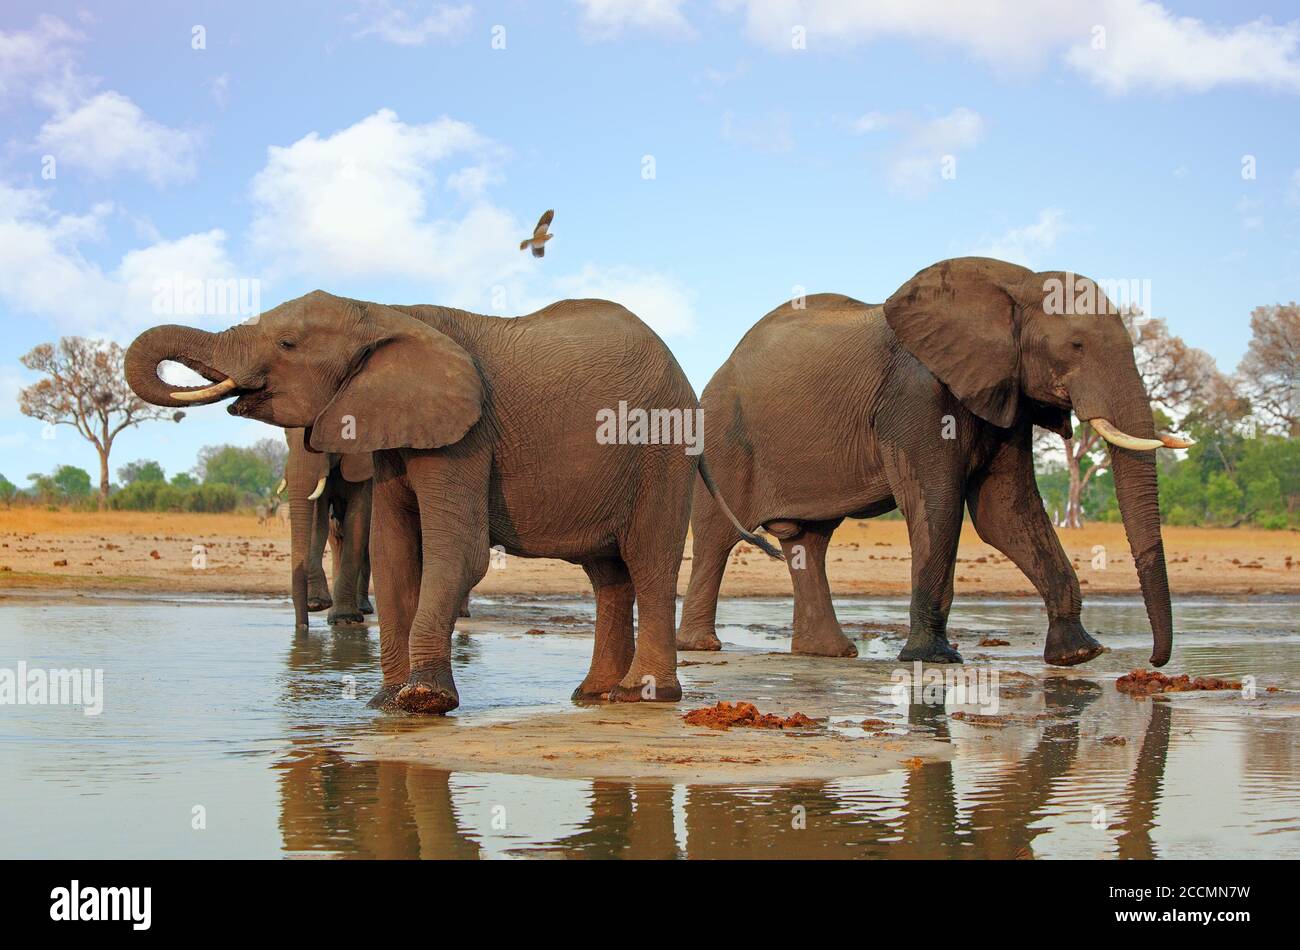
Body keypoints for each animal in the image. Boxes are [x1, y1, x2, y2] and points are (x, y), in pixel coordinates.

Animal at [278, 426, 374, 629]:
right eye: (285, 433)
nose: (303, 627)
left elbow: (358, 518)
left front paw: (344, 617)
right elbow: (317, 517)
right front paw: (316, 603)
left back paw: (361, 610)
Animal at [681, 254, 1190, 670]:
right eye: (1077, 346)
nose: (1154, 660)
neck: (1015, 283)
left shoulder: (1001, 392)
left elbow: (1006, 512)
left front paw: (1078, 654)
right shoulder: (918, 393)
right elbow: (938, 504)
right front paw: (934, 658)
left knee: (810, 541)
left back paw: (828, 653)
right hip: (723, 433)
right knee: (716, 537)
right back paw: (703, 646)